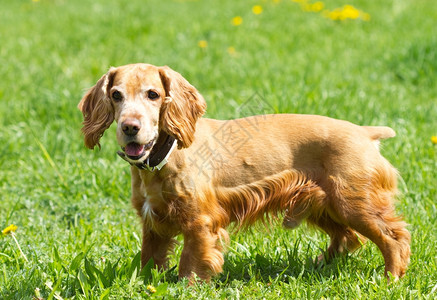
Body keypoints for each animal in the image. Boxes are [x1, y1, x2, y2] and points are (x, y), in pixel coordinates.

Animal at [77, 63, 408, 282]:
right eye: (116, 95)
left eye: (153, 94)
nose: (129, 127)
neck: (166, 157)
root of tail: (365, 132)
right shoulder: (153, 223)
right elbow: (150, 259)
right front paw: (146, 284)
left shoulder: (200, 221)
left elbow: (191, 262)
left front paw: (188, 286)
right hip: (323, 204)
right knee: (347, 237)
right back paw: (318, 266)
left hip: (354, 203)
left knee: (393, 237)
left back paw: (391, 278)